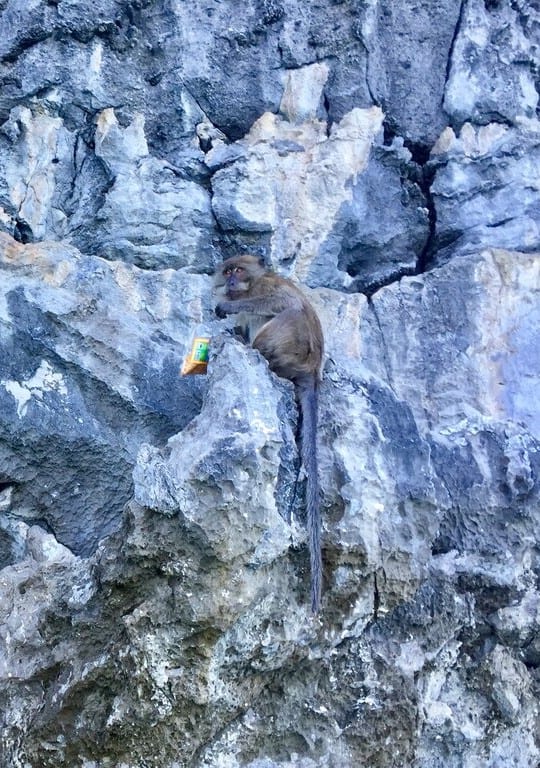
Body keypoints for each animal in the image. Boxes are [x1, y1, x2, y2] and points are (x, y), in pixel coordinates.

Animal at [214, 255, 324, 616]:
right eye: (227, 270)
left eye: (238, 270)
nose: (230, 281)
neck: (250, 285)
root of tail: (311, 372)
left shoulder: (267, 287)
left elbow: (280, 303)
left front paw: (226, 307)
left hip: (295, 346)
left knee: (289, 313)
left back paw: (256, 351)